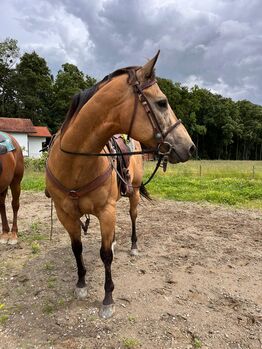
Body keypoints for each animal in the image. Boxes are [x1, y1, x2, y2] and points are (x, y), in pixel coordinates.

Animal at [45, 52, 196, 318]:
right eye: (162, 103)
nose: (189, 146)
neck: (74, 164)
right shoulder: (66, 214)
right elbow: (77, 248)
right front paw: (81, 284)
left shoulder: (106, 211)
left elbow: (105, 255)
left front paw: (108, 298)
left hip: (132, 194)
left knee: (133, 217)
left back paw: (133, 246)